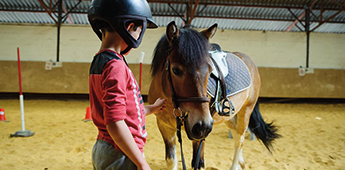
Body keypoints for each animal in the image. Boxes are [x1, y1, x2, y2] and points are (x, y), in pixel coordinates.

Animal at [148, 21, 280, 170]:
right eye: (175, 70)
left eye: (210, 69)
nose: (203, 125)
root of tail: (249, 62)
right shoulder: (165, 127)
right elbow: (171, 160)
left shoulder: (200, 135)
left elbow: (198, 163)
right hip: (229, 116)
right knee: (235, 132)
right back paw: (241, 163)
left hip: (246, 111)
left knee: (239, 140)